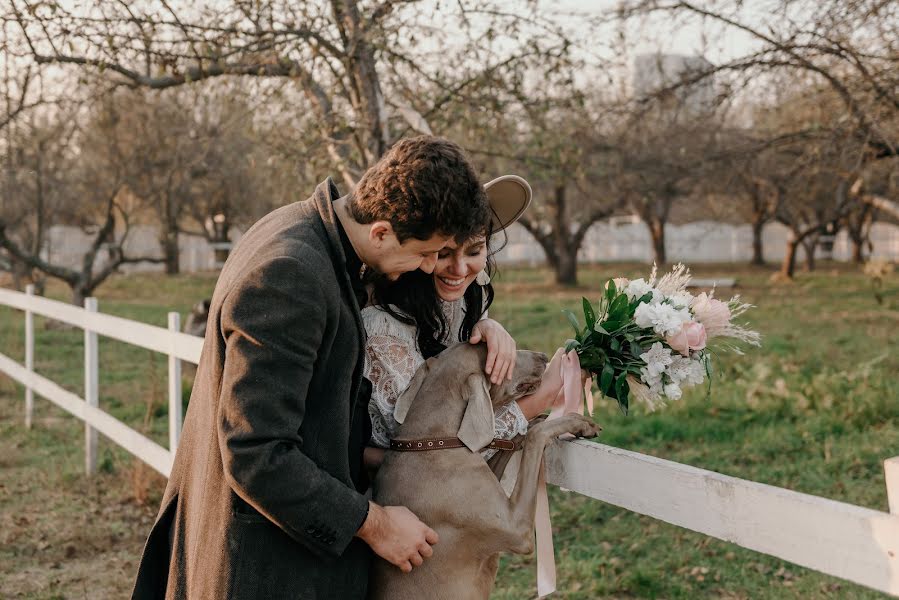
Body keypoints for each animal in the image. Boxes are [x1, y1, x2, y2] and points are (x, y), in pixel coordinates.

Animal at [370, 342, 600, 600]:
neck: (431, 441)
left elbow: (514, 441)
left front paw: (533, 422)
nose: (542, 356)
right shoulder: (516, 526)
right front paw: (576, 421)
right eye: (507, 360)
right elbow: (534, 437)